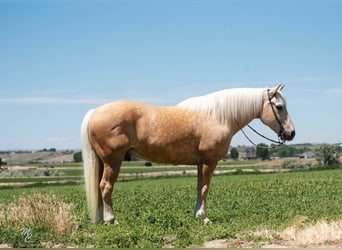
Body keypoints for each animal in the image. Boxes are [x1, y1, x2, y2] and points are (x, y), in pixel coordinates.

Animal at [81, 83, 296, 223]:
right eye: (279, 107)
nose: (291, 133)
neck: (218, 116)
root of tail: (94, 112)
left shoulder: (201, 163)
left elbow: (199, 187)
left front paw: (196, 215)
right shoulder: (209, 161)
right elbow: (205, 188)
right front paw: (204, 217)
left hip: (103, 162)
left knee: (99, 187)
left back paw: (101, 219)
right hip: (113, 161)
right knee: (106, 187)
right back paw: (112, 220)